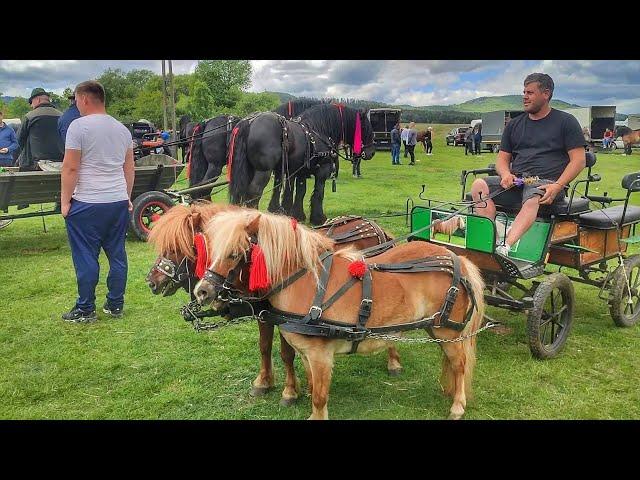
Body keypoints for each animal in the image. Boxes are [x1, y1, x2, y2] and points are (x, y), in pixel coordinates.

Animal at [148, 201, 402, 404]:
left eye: (175, 248)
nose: (151, 281)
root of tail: (376, 226)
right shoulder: (263, 313)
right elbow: (264, 346)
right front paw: (264, 382)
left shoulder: (284, 316)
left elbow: (286, 352)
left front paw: (290, 392)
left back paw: (393, 362)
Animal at [195, 208, 484, 418]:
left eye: (234, 253)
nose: (202, 291)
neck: (306, 282)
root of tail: (457, 259)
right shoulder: (306, 353)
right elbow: (312, 385)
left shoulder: (320, 354)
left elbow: (320, 396)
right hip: (435, 328)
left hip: (448, 332)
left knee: (460, 365)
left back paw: (457, 405)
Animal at [228, 102, 376, 225]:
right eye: (366, 127)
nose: (371, 153)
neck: (318, 130)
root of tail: (249, 122)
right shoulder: (322, 169)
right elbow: (318, 192)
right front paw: (318, 218)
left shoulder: (301, 171)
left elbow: (300, 192)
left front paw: (297, 215)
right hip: (263, 170)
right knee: (254, 192)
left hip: (248, 169)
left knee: (240, 192)